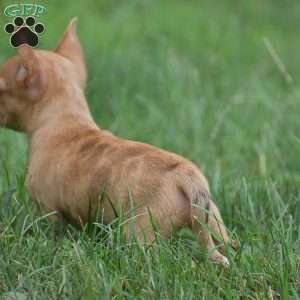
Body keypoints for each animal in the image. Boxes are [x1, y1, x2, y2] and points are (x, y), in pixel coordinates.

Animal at [0, 18, 234, 266]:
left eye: (1, 89)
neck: (66, 119)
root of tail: (186, 175)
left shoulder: (47, 210)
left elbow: (51, 232)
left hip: (141, 234)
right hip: (212, 222)